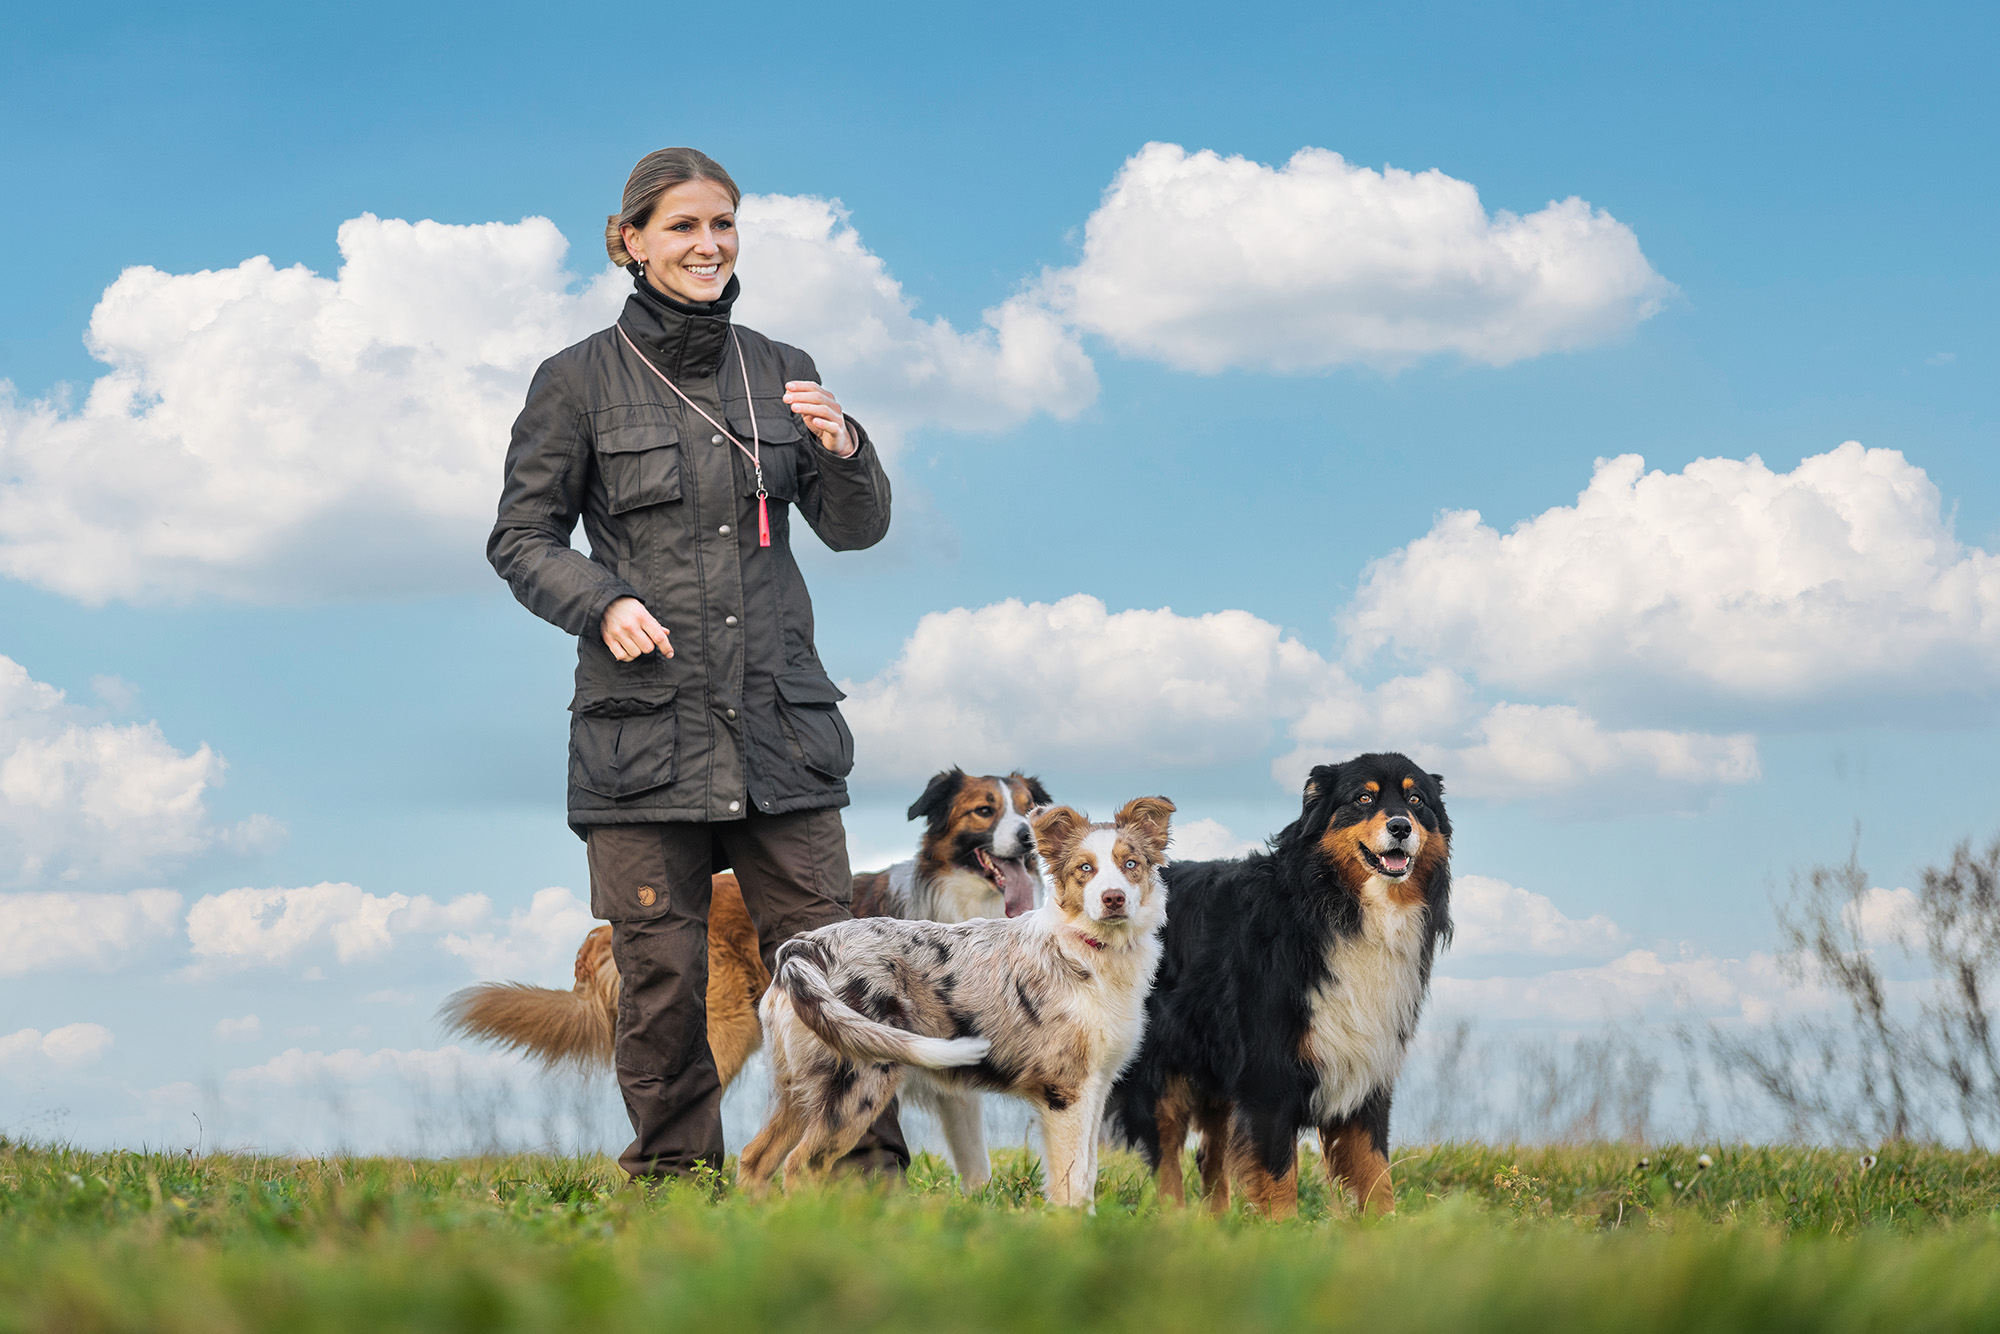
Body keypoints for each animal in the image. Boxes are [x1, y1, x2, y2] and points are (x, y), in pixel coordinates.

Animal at [740, 800, 1168, 1216]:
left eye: (1132, 864)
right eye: (1085, 869)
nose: (1113, 898)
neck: (1089, 948)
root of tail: (805, 948)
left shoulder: (1096, 1086)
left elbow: (1088, 1173)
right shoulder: (1066, 1092)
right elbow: (1072, 1181)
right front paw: (1073, 1229)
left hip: (800, 1089)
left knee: (754, 1159)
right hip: (858, 1083)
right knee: (800, 1166)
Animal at [1112, 756, 1456, 1216]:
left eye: (1416, 800)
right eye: (1363, 799)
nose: (1401, 826)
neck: (1337, 908)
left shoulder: (1367, 1070)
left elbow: (1376, 1173)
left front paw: (1387, 1227)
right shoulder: (1268, 1074)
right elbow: (1278, 1179)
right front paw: (1283, 1230)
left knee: (1209, 1155)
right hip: (1161, 1071)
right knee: (1166, 1158)